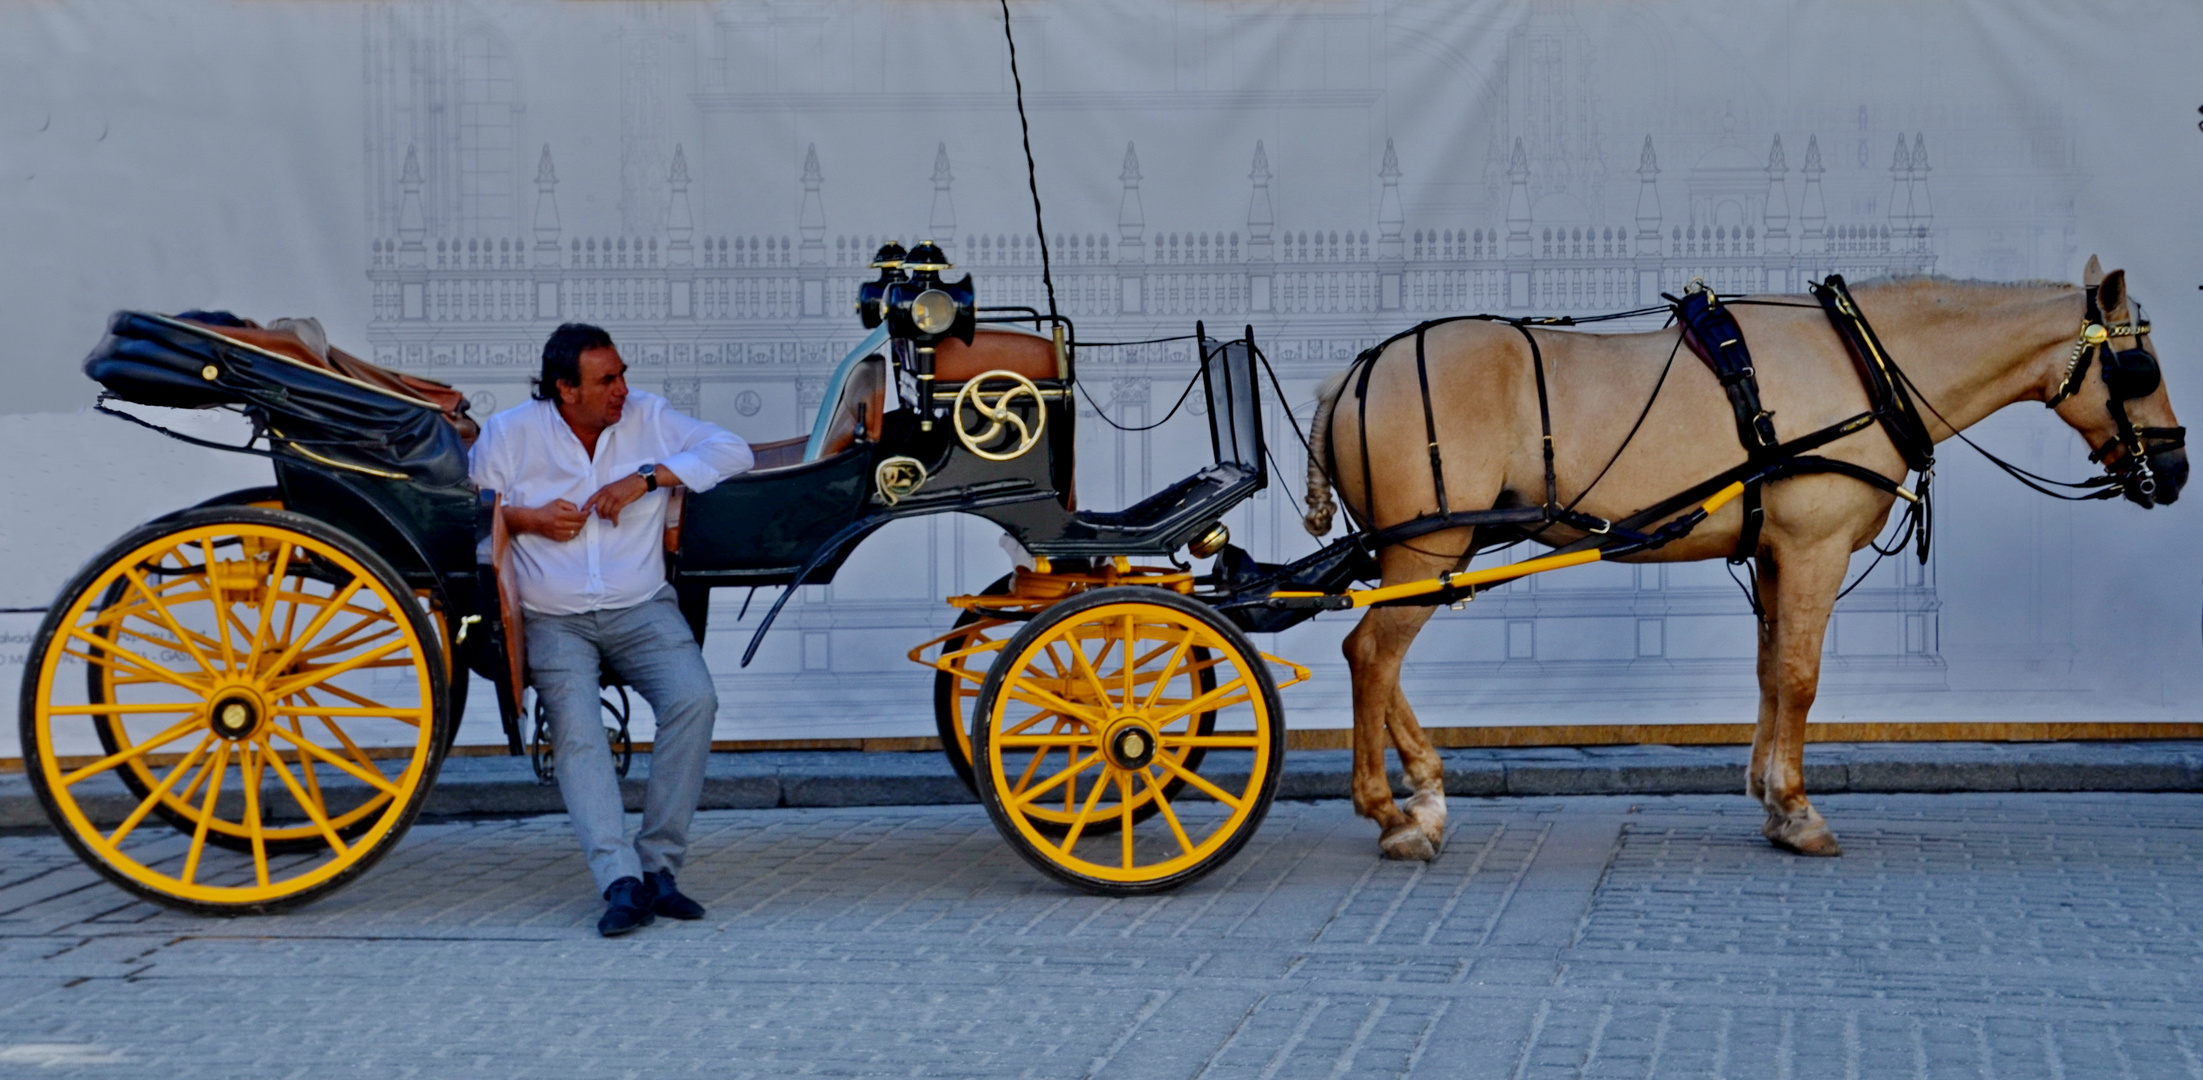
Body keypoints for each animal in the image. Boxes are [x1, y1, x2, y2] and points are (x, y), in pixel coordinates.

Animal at [1295, 258, 2176, 859]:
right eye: (2141, 368)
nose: (2174, 471)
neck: (1862, 364)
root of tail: (1350, 374)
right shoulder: (1814, 549)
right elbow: (1800, 676)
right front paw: (1796, 809)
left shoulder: (1773, 554)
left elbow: (1768, 672)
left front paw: (1767, 796)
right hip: (1427, 546)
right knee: (1369, 653)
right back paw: (1389, 813)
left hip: (1425, 555)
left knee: (1377, 657)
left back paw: (1425, 797)